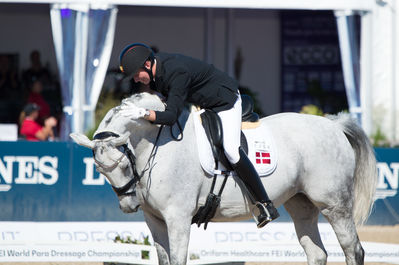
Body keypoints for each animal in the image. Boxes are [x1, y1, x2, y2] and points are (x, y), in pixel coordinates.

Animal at [71, 92, 378, 262]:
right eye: (100, 171)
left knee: (353, 250)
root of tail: (333, 125)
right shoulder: (154, 219)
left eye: (125, 164)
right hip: (301, 205)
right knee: (316, 253)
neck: (157, 143)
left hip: (334, 205)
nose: (128, 206)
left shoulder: (178, 217)